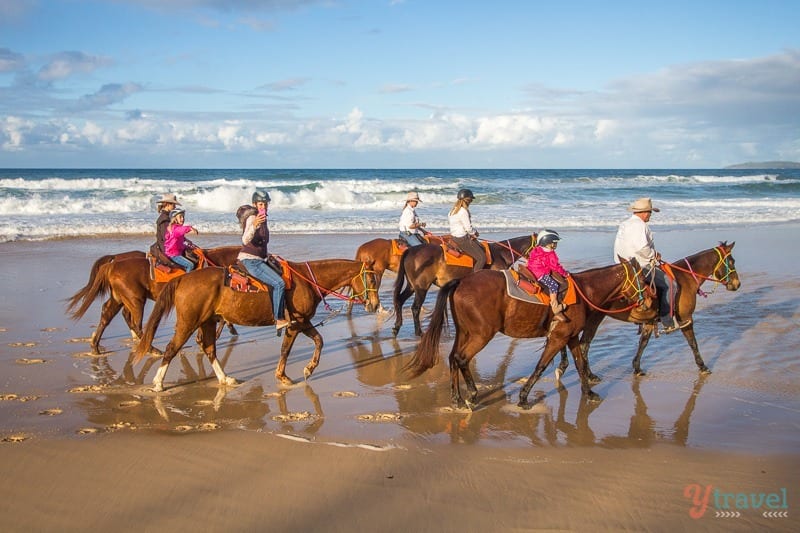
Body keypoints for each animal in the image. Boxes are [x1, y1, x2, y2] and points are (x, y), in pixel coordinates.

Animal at [65, 246, 241, 356]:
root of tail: (113, 265)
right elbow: (221, 320)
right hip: (136, 300)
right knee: (134, 323)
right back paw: (151, 349)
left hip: (119, 298)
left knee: (107, 315)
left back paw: (95, 346)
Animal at [132, 258, 382, 390]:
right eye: (370, 279)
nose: (374, 304)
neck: (307, 281)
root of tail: (183, 278)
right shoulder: (295, 324)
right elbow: (288, 349)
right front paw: (288, 374)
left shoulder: (302, 322)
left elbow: (318, 341)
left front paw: (305, 369)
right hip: (189, 322)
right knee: (172, 349)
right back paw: (158, 383)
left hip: (207, 321)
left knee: (209, 348)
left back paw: (225, 378)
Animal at [390, 234, 536, 334]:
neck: (500, 254)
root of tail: (410, 250)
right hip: (421, 287)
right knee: (415, 308)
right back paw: (418, 332)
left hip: (412, 286)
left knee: (400, 300)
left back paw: (397, 327)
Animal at [406, 260, 648, 410]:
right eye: (645, 281)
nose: (647, 302)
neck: (583, 292)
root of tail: (462, 281)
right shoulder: (558, 338)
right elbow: (541, 366)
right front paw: (523, 398)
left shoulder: (569, 337)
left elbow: (580, 364)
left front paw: (588, 393)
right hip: (481, 335)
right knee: (461, 358)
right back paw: (472, 395)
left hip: (465, 333)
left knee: (453, 358)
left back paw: (457, 397)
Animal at [556, 241, 736, 378]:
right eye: (732, 261)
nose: (737, 284)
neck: (685, 279)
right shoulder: (686, 318)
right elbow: (693, 343)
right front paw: (703, 366)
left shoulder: (649, 322)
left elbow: (643, 343)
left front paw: (636, 367)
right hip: (594, 319)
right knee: (583, 346)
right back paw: (587, 374)